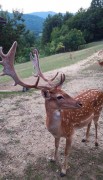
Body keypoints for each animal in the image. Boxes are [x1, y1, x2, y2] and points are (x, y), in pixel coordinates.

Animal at [0, 41, 102, 176]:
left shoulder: (70, 133)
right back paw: (85, 138)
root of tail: (100, 90)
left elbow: (66, 152)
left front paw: (63, 170)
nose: (80, 104)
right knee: (89, 123)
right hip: (91, 115)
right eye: (59, 96)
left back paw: (96, 142)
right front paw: (52, 159)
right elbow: (56, 146)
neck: (58, 128)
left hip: (98, 111)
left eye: (64, 91)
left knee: (96, 124)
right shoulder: (56, 135)